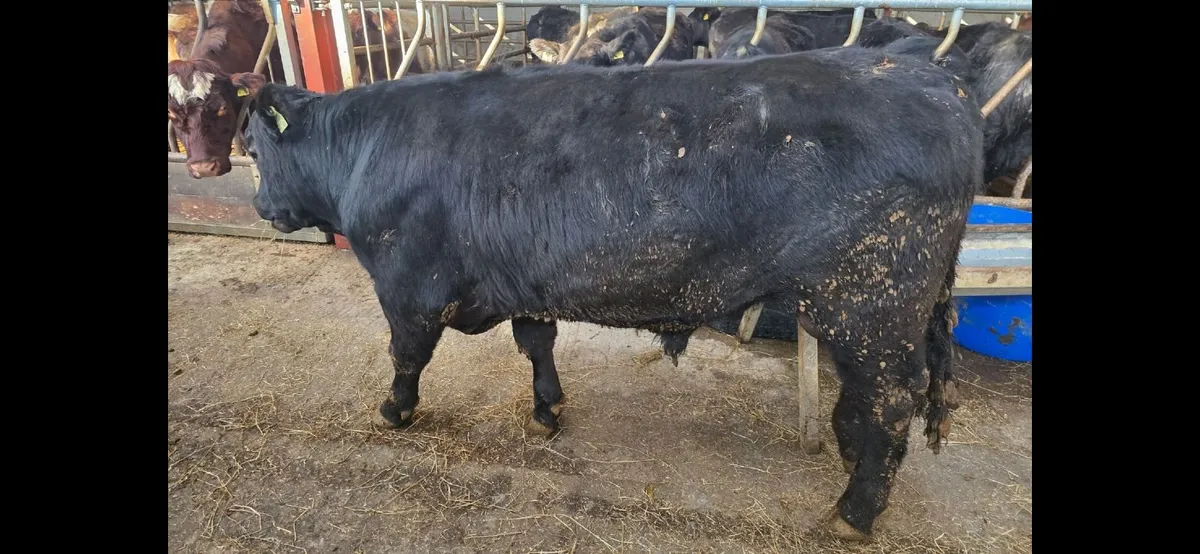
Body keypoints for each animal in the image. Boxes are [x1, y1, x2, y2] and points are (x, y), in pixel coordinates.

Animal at [229, 42, 984, 541]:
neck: (363, 149)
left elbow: (407, 356)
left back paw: (854, 512)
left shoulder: (408, 286)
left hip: (870, 300)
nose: (262, 206)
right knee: (872, 394)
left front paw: (394, 411)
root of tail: (931, 76)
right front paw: (547, 410)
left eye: (256, 150)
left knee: (892, 397)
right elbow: (537, 342)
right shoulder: (525, 282)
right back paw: (850, 450)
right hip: (870, 312)